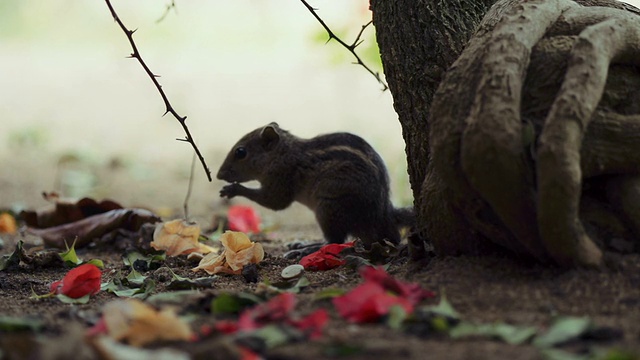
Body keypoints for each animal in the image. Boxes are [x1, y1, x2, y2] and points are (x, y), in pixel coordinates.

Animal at [216, 122, 416, 249]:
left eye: (240, 152)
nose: (218, 175)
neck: (283, 153)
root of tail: (385, 216)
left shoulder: (281, 178)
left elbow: (275, 202)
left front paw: (233, 189)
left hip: (329, 208)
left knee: (335, 240)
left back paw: (307, 248)